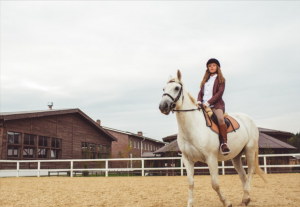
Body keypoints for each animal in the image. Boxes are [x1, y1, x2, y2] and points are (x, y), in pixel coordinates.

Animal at [158, 70, 266, 206]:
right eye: (163, 88)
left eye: (177, 88)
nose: (163, 106)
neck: (193, 126)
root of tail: (248, 118)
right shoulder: (187, 160)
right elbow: (190, 184)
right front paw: (190, 204)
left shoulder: (211, 158)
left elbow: (215, 184)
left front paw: (226, 202)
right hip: (236, 156)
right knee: (243, 175)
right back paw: (244, 199)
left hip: (250, 150)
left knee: (251, 171)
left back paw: (246, 197)